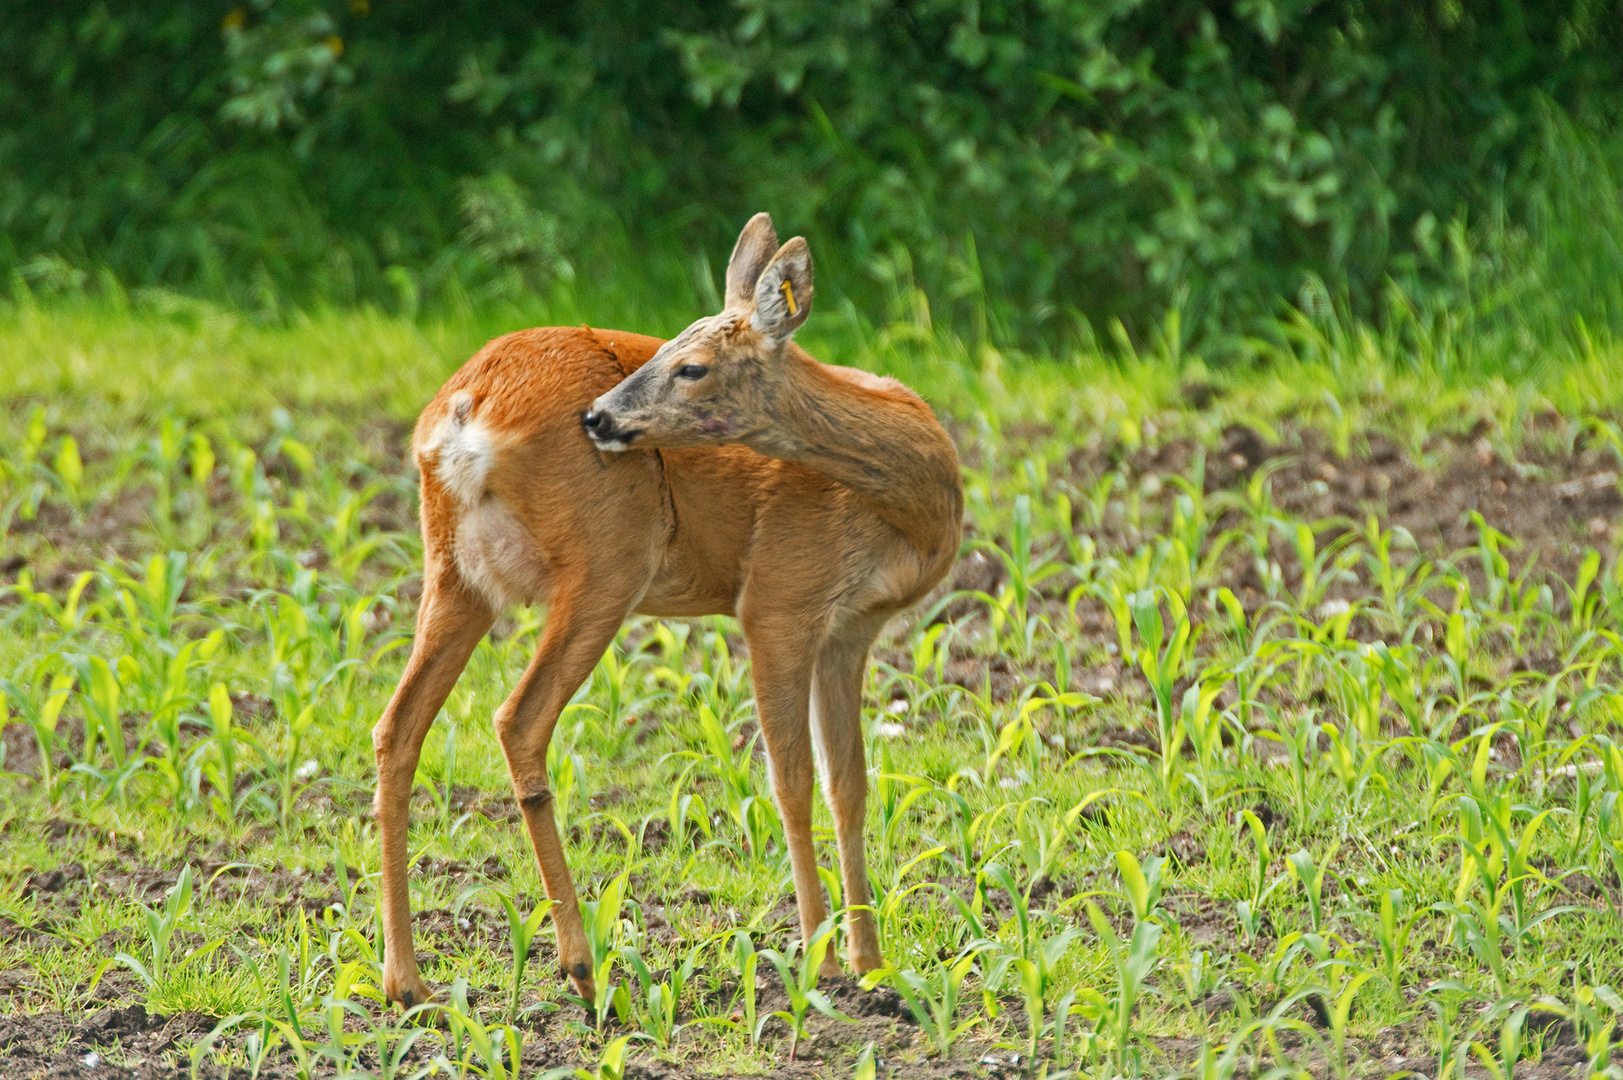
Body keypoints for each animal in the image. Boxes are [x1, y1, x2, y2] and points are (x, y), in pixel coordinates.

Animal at [373, 212, 960, 1013]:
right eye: (671, 350)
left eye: (694, 366)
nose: (598, 415)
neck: (910, 504)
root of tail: (463, 411)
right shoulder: (777, 597)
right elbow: (793, 783)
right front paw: (822, 966)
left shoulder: (851, 627)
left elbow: (851, 785)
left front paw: (873, 965)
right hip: (609, 560)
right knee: (518, 718)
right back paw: (583, 967)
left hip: (456, 572)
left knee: (397, 727)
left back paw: (408, 982)